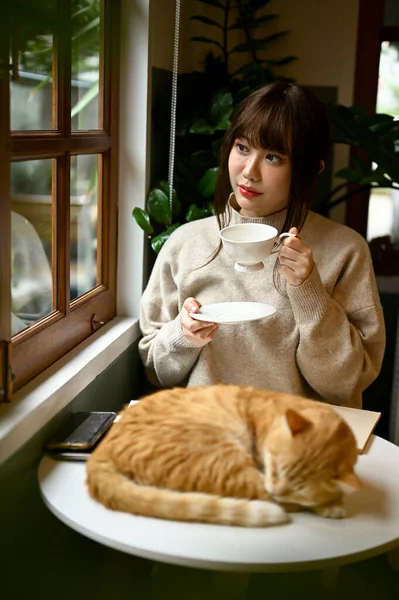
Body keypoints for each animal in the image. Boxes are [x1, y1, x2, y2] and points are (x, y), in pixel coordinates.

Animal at [86, 384, 360, 524]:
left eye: (300, 487)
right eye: (275, 468)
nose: (276, 488)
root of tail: (103, 447)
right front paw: (330, 503)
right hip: (223, 460)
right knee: (266, 497)